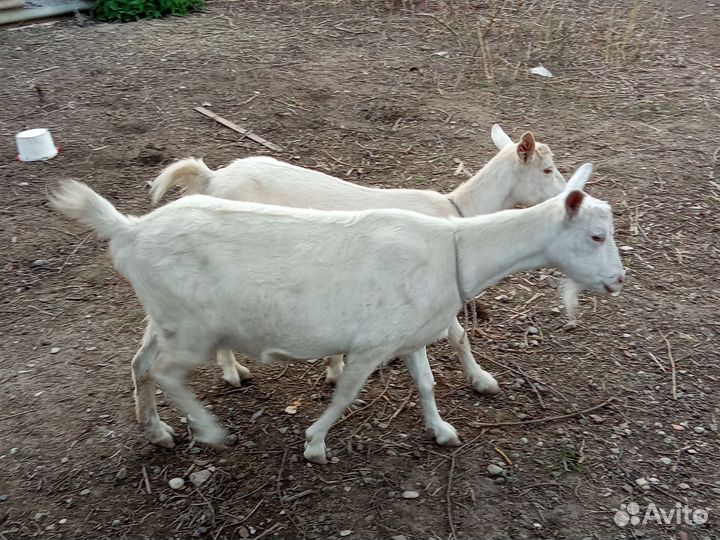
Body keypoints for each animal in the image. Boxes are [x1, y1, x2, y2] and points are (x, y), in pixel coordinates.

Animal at [50, 163, 625, 464]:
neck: (454, 245)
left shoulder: (409, 336)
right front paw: (314, 443)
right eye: (597, 236)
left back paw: (156, 430)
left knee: (142, 364)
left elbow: (426, 384)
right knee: (168, 371)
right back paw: (208, 430)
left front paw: (442, 430)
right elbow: (347, 393)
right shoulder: (372, 345)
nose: (618, 280)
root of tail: (129, 230)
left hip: (165, 316)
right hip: (190, 328)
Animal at [150, 125, 567, 394]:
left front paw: (336, 369)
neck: (457, 212)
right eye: (546, 169)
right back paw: (233, 373)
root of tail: (211, 179)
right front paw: (483, 381)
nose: (569, 196)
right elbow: (460, 336)